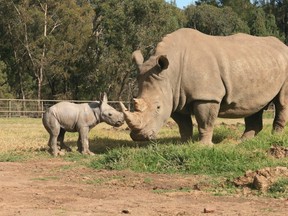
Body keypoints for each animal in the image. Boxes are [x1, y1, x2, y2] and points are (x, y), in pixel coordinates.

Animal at [120, 27, 288, 144]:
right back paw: (243, 142)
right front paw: (184, 143)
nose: (139, 137)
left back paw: (275, 138)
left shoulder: (206, 96)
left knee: (281, 102)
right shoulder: (174, 96)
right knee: (254, 103)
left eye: (158, 107)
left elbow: (205, 121)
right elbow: (183, 124)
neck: (170, 73)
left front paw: (203, 146)